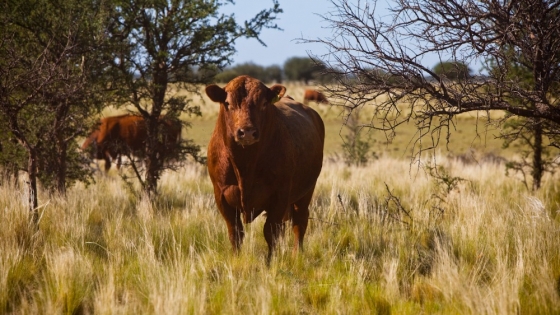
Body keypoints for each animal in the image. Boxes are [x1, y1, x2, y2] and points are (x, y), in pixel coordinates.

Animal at [206, 75, 324, 262]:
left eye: (263, 103)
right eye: (228, 103)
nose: (247, 132)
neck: (244, 165)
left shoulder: (279, 196)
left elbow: (270, 232)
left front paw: (270, 262)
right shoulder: (221, 196)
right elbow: (235, 233)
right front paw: (236, 259)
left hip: (307, 191)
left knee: (300, 221)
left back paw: (296, 254)